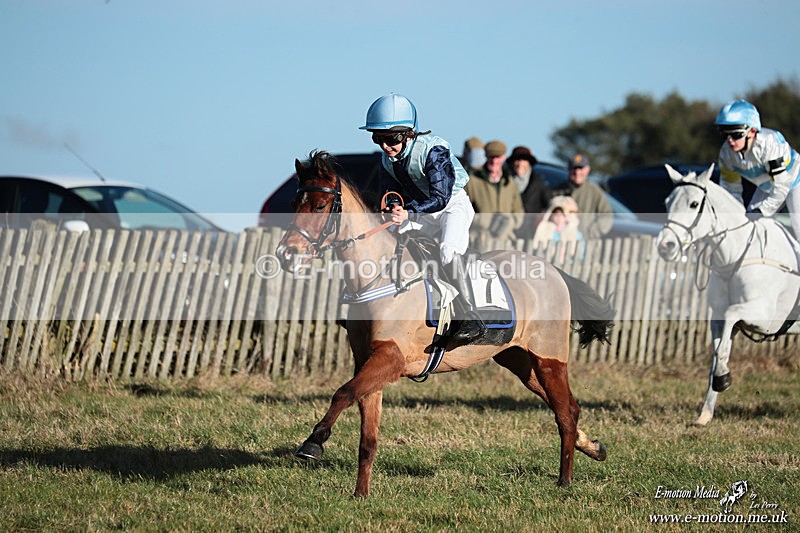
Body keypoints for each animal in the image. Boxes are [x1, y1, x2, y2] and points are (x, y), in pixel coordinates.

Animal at [275, 151, 614, 497]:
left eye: (319, 206)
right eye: (294, 203)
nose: (287, 254)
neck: (378, 277)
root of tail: (554, 271)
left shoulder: (390, 358)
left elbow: (342, 393)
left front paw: (313, 443)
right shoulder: (368, 362)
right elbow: (367, 437)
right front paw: (361, 494)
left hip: (549, 358)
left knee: (565, 411)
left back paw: (565, 479)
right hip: (519, 361)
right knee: (566, 407)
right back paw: (593, 447)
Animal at [656, 164, 800, 426]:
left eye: (693, 204)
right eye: (667, 202)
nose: (665, 246)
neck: (735, 256)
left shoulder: (765, 319)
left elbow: (732, 318)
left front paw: (723, 377)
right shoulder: (718, 317)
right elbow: (717, 351)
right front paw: (704, 414)